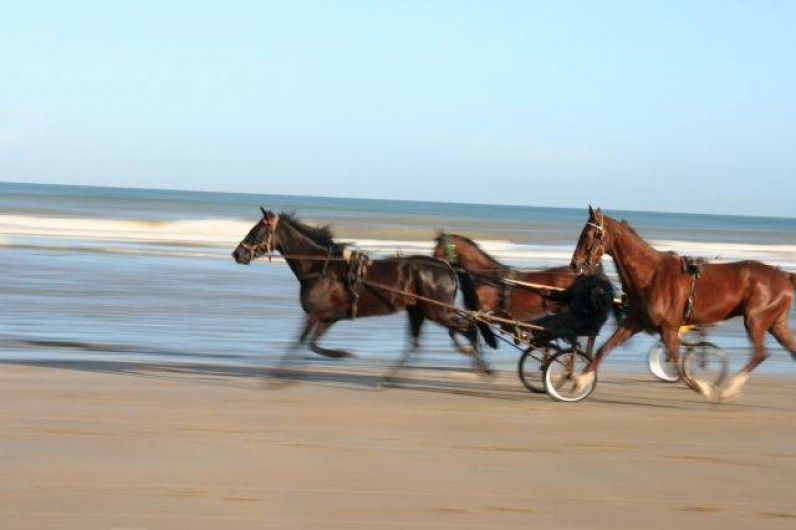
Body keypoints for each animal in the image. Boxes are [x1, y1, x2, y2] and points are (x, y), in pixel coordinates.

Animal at [232, 209, 497, 380]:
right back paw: (390, 378)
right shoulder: (327, 317)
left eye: (255, 231)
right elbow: (311, 343)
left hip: (437, 311)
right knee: (417, 343)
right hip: (418, 311)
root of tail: (448, 267)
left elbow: (302, 342)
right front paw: (338, 354)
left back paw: (481, 365)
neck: (321, 268)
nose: (237, 253)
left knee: (469, 328)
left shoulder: (315, 314)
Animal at [569, 206, 796, 402]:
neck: (651, 276)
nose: (574, 264)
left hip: (755, 320)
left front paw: (704, 389)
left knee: (760, 353)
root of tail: (783, 275)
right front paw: (579, 380)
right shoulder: (634, 322)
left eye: (588, 234)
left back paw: (729, 388)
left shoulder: (669, 327)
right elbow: (604, 348)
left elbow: (679, 365)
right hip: (776, 324)